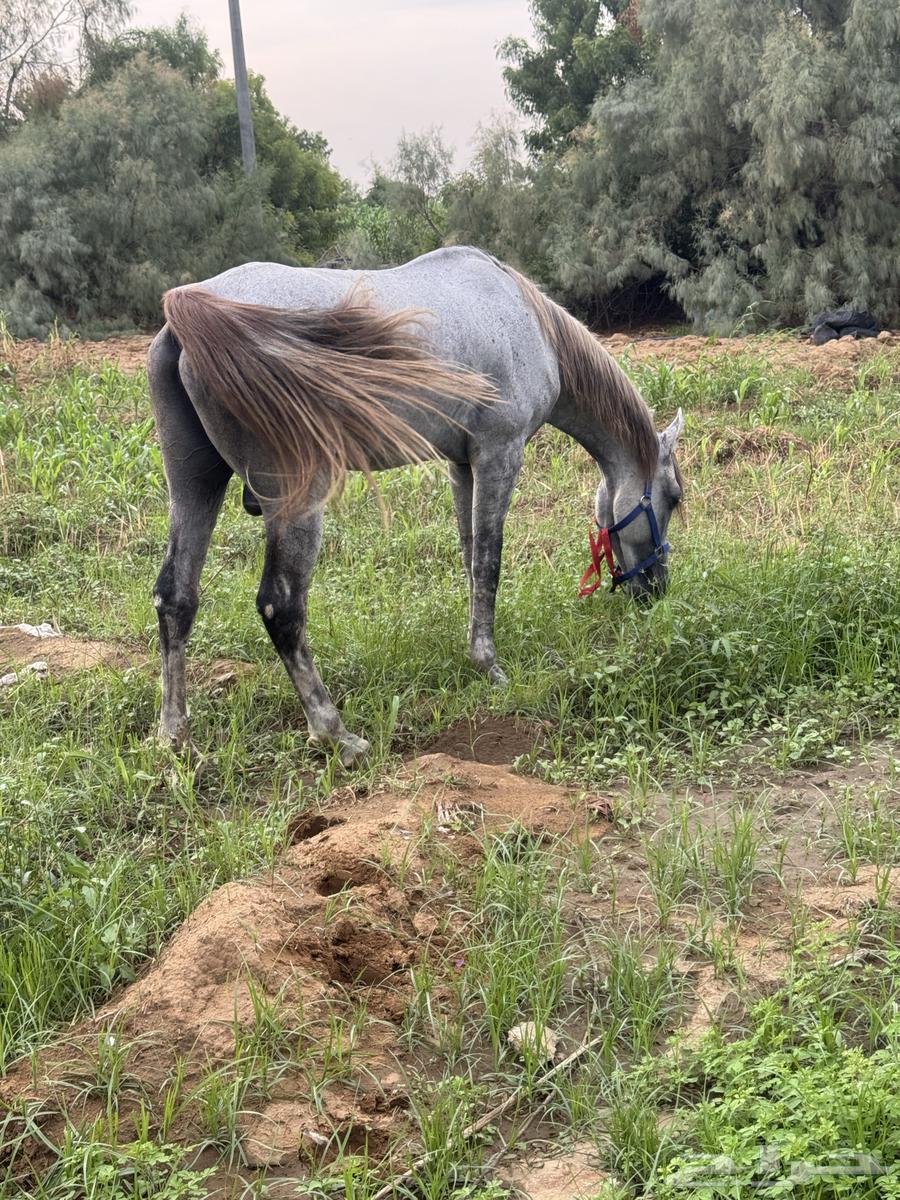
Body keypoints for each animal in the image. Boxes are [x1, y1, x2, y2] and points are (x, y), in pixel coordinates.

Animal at [148, 246, 684, 765]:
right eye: (674, 499)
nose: (658, 588)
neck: (526, 319)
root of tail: (190, 309)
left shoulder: (462, 465)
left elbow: (471, 558)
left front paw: (476, 652)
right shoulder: (500, 454)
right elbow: (488, 562)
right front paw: (490, 665)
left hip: (195, 483)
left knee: (176, 596)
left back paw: (177, 738)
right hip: (295, 504)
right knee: (281, 609)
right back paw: (336, 735)